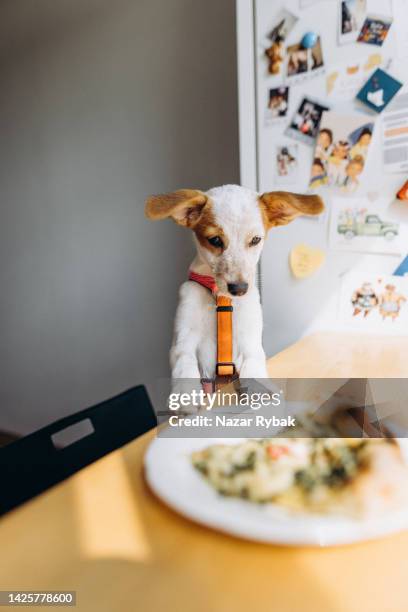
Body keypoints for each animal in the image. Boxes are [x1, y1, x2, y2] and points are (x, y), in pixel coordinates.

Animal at [145, 184, 324, 380]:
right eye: (215, 240)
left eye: (255, 239)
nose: (239, 289)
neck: (220, 299)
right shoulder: (182, 345)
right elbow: (185, 376)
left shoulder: (251, 347)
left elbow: (254, 374)